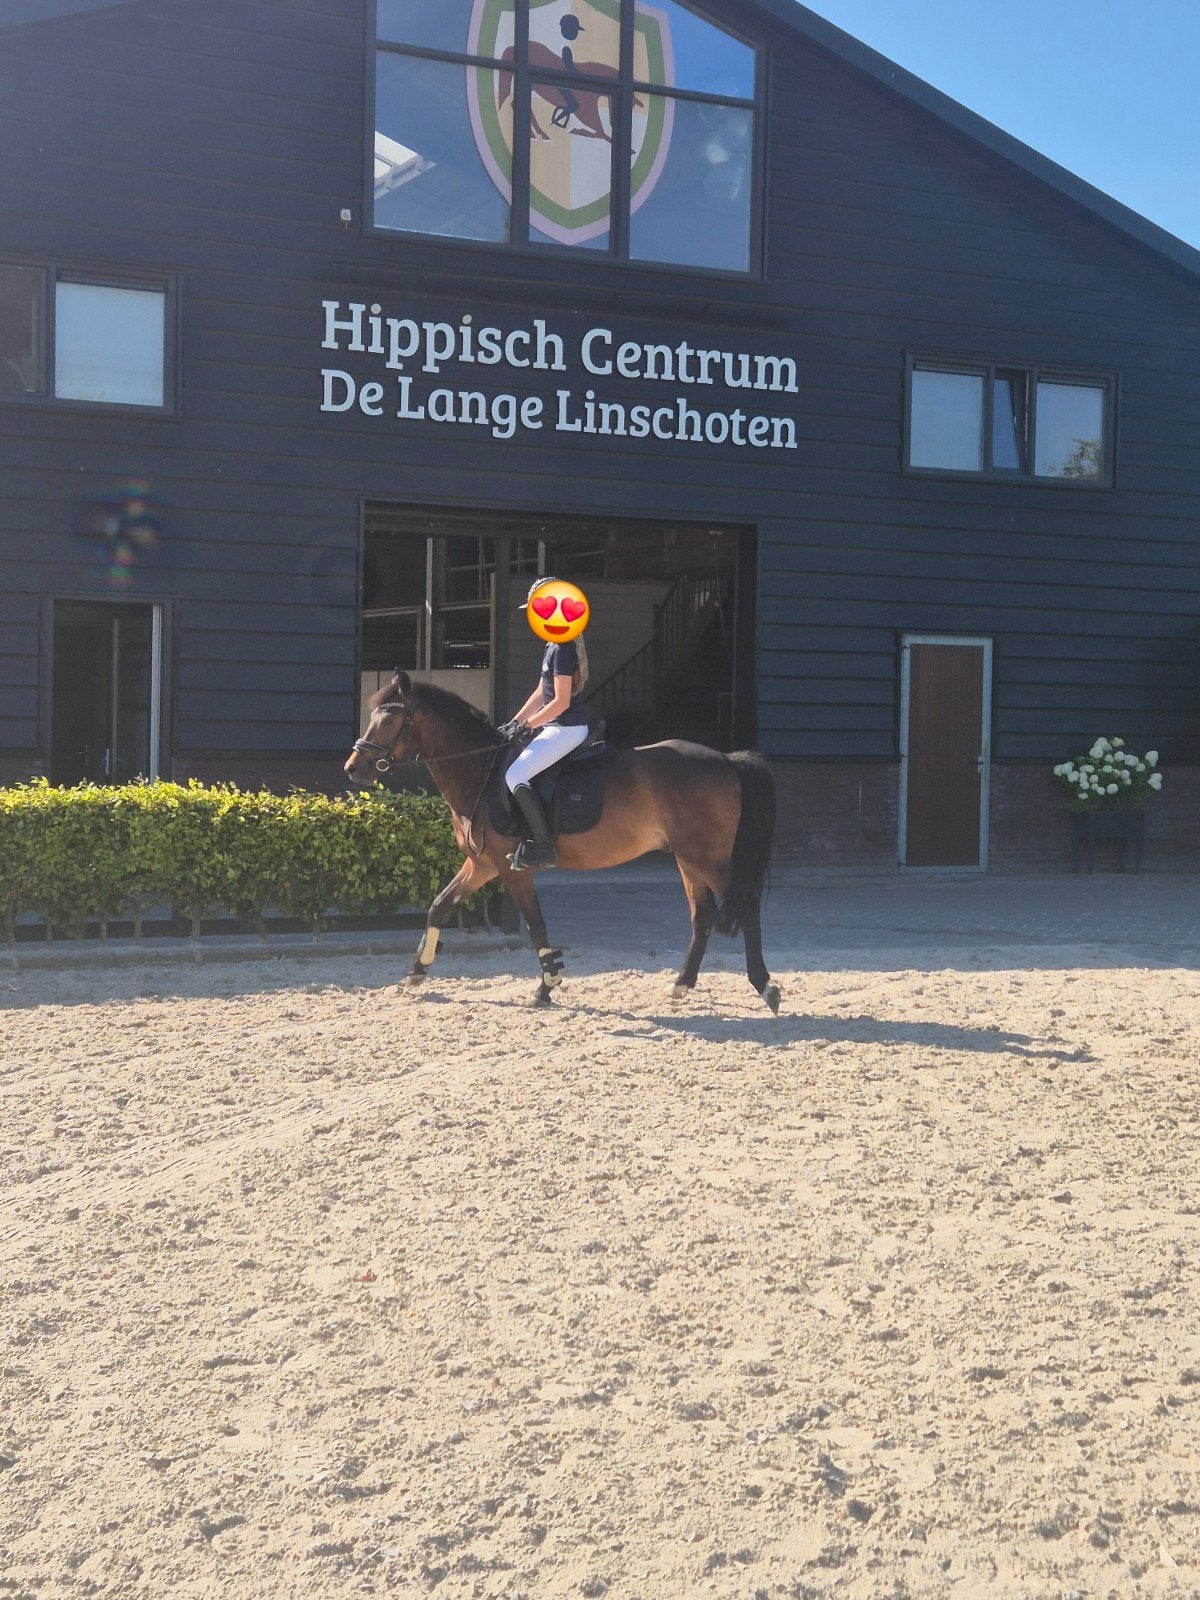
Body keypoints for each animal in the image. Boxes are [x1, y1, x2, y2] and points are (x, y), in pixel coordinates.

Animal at [344, 673, 780, 1013]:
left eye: (388, 721)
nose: (353, 768)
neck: (482, 771)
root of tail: (725, 759)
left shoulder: (510, 867)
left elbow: (535, 924)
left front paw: (547, 986)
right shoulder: (481, 863)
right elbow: (439, 905)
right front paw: (416, 972)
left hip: (708, 857)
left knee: (747, 905)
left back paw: (766, 987)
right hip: (688, 858)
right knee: (702, 915)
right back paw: (682, 984)